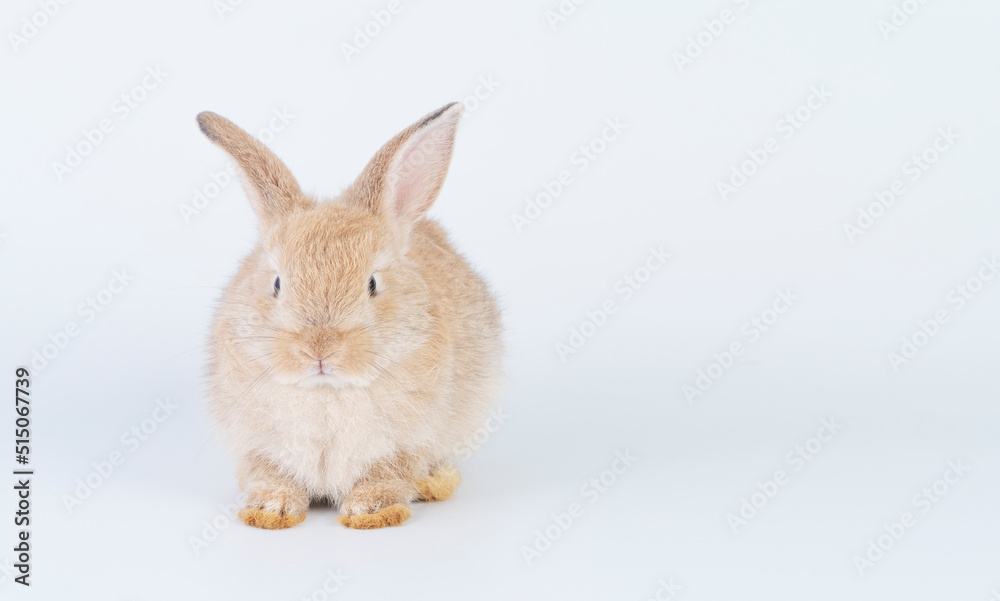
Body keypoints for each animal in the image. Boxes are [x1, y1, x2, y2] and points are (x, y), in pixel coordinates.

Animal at [196, 103, 502, 530]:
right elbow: (271, 475)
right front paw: (269, 511)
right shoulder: (262, 446)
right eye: (277, 283)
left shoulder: (402, 446)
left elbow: (387, 474)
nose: (319, 349)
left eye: (372, 283)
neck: (327, 391)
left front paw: (371, 512)